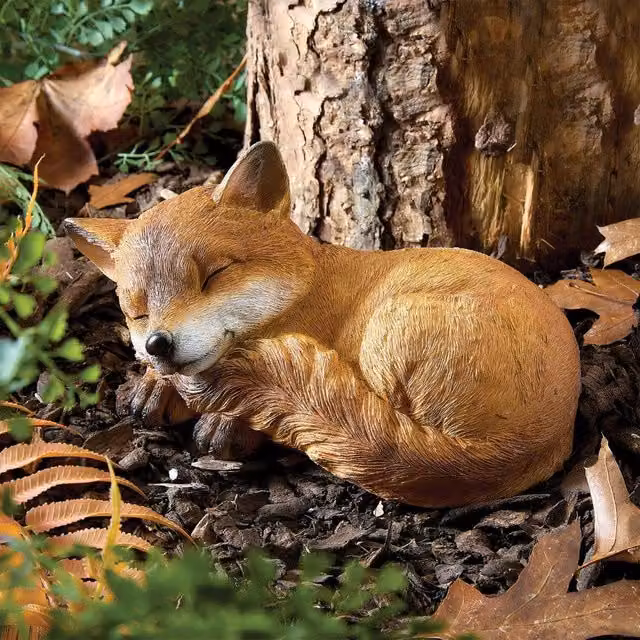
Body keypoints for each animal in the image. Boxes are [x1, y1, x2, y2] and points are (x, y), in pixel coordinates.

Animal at [64, 141, 581, 508]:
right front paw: (155, 385)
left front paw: (229, 423)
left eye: (214, 275)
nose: (159, 344)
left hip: (387, 332)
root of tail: (510, 446)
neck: (309, 288)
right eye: (136, 309)